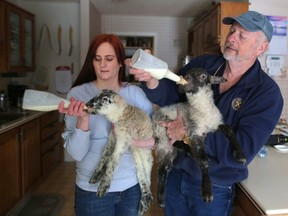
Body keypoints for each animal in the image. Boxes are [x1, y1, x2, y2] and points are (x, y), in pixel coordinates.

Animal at [152, 68, 246, 208]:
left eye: (203, 76)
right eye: (186, 74)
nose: (186, 78)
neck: (203, 111)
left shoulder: (216, 125)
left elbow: (230, 130)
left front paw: (239, 155)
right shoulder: (195, 132)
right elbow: (203, 160)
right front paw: (207, 191)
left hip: (168, 150)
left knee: (162, 170)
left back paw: (161, 199)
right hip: (165, 126)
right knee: (174, 144)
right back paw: (190, 152)